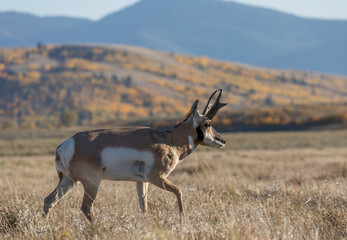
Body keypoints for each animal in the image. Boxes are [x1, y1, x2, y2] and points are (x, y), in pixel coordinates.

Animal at [43, 89, 227, 221]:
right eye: (207, 123)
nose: (223, 140)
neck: (168, 139)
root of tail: (66, 144)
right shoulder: (156, 178)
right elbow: (179, 192)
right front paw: (183, 222)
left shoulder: (141, 181)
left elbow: (143, 207)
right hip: (91, 182)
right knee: (86, 208)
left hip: (69, 180)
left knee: (49, 200)